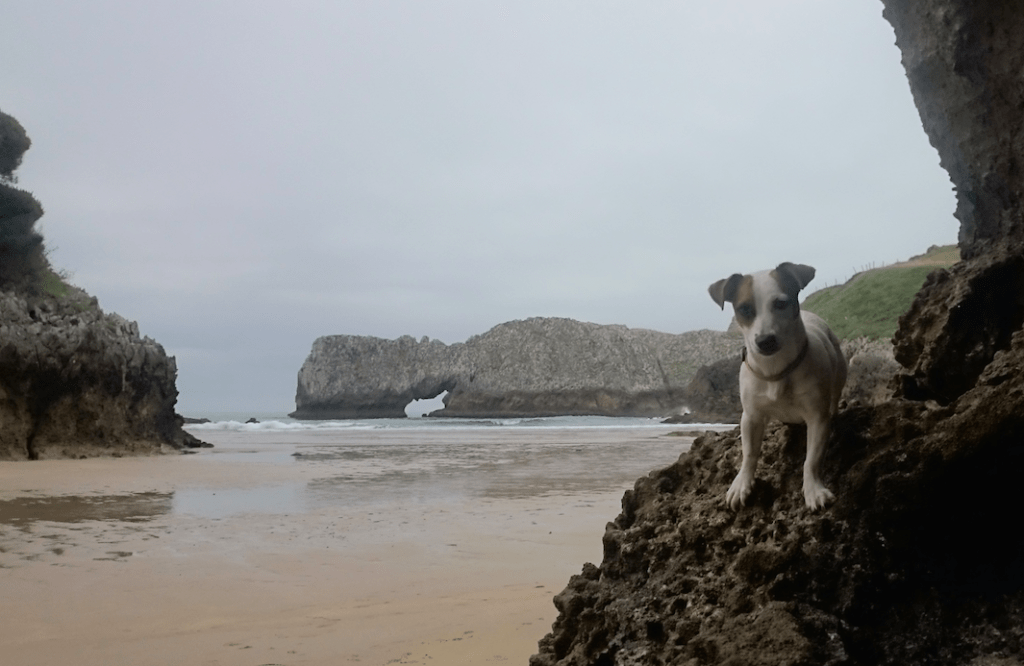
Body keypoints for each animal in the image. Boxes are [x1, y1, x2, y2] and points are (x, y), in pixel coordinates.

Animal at [708, 260, 843, 508]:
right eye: (744, 309)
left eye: (781, 303)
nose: (765, 341)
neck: (775, 371)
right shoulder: (751, 417)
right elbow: (749, 454)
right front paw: (742, 483)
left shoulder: (817, 418)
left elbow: (811, 459)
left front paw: (813, 489)